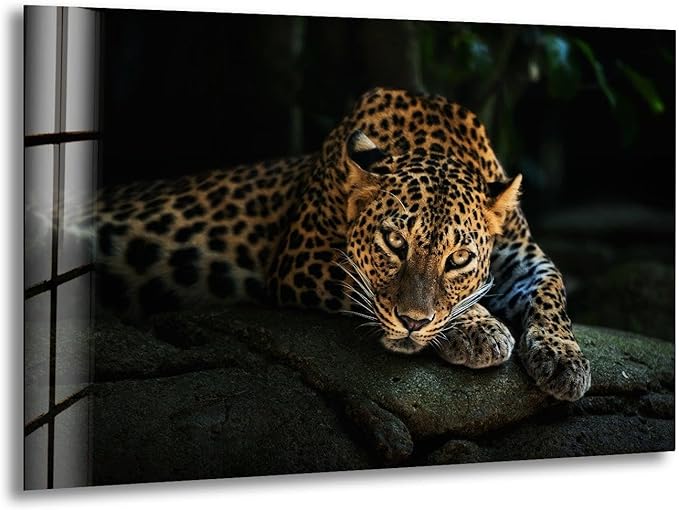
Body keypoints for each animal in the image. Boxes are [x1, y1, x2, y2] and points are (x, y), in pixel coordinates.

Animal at [92, 87, 591, 401]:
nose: (413, 323)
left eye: (460, 258)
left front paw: (564, 360)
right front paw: (479, 328)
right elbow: (365, 286)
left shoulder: (525, 258)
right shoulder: (300, 257)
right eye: (394, 241)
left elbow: (552, 291)